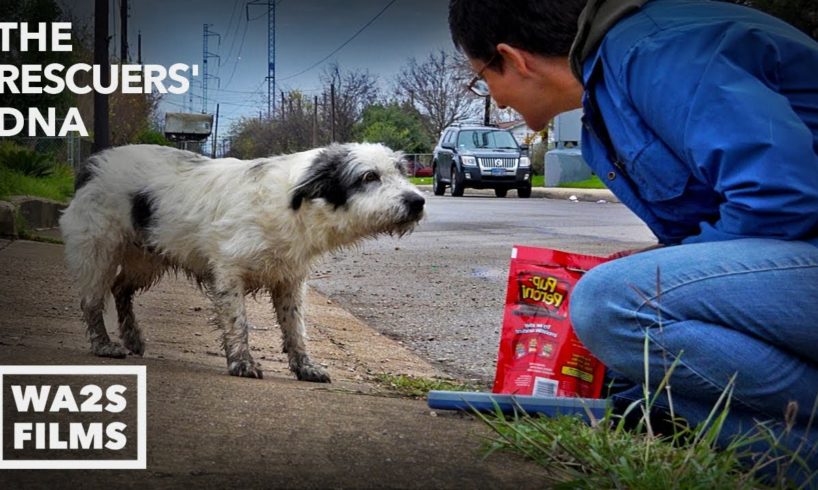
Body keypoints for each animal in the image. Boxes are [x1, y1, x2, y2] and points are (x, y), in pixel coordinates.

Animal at [59, 144, 420, 380]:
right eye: (368, 177)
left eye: (402, 171)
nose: (418, 201)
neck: (292, 203)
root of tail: (93, 163)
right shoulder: (229, 273)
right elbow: (239, 323)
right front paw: (242, 362)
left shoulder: (289, 280)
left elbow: (296, 329)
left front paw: (305, 367)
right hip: (98, 252)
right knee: (91, 301)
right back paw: (104, 344)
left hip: (147, 258)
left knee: (121, 289)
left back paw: (132, 337)